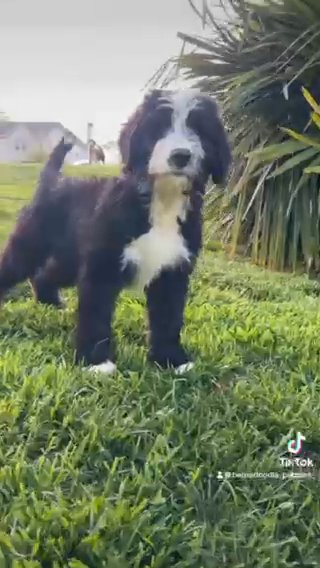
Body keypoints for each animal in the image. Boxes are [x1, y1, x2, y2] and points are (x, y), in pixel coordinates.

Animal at [0, 87, 231, 372]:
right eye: (159, 126)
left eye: (199, 129)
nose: (180, 155)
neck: (162, 200)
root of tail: (52, 182)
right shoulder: (101, 265)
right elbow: (96, 312)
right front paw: (96, 362)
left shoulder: (173, 270)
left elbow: (168, 317)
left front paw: (171, 359)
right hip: (29, 244)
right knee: (14, 268)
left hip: (70, 258)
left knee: (45, 275)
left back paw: (51, 303)